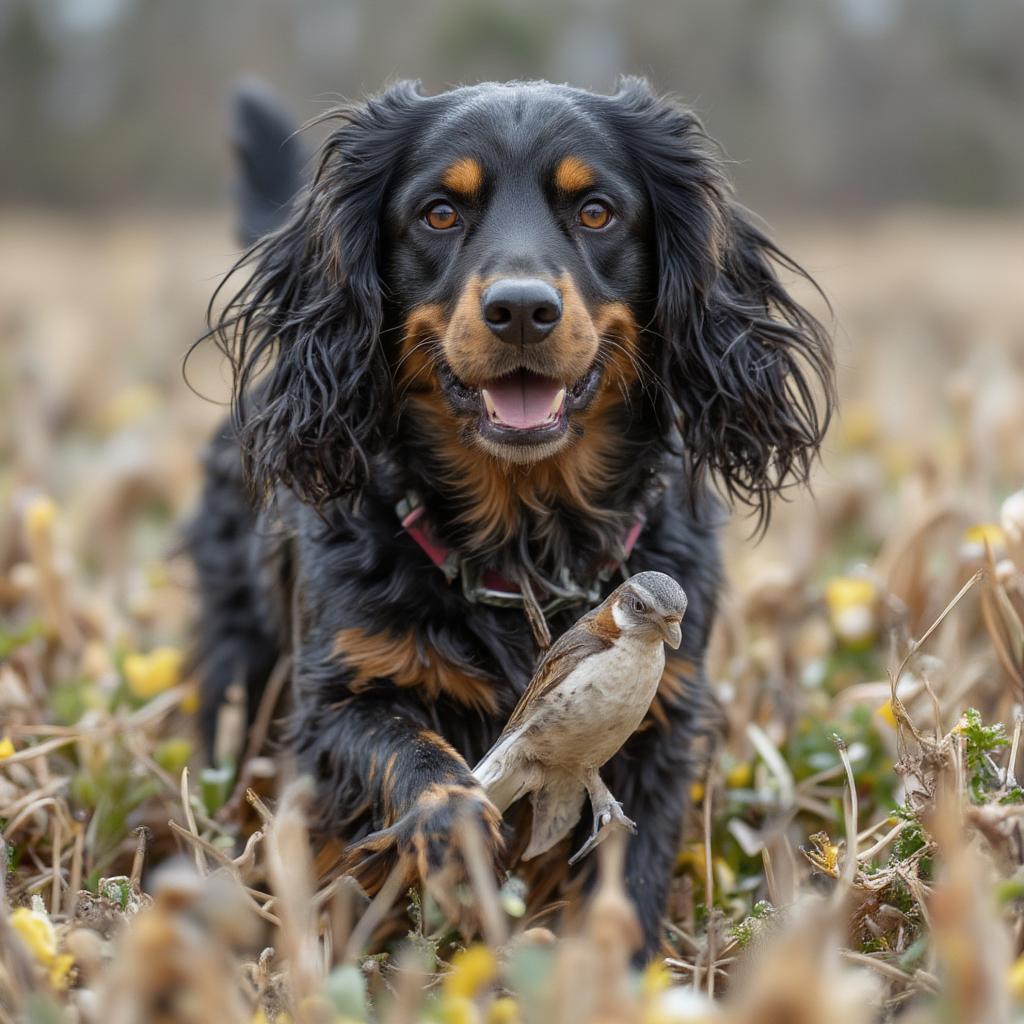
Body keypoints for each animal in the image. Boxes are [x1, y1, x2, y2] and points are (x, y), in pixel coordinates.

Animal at [188, 75, 835, 954]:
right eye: (438, 213)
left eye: (596, 211)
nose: (521, 309)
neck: (527, 540)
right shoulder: (339, 695)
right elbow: (417, 756)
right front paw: (454, 823)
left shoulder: (660, 727)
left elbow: (626, 875)